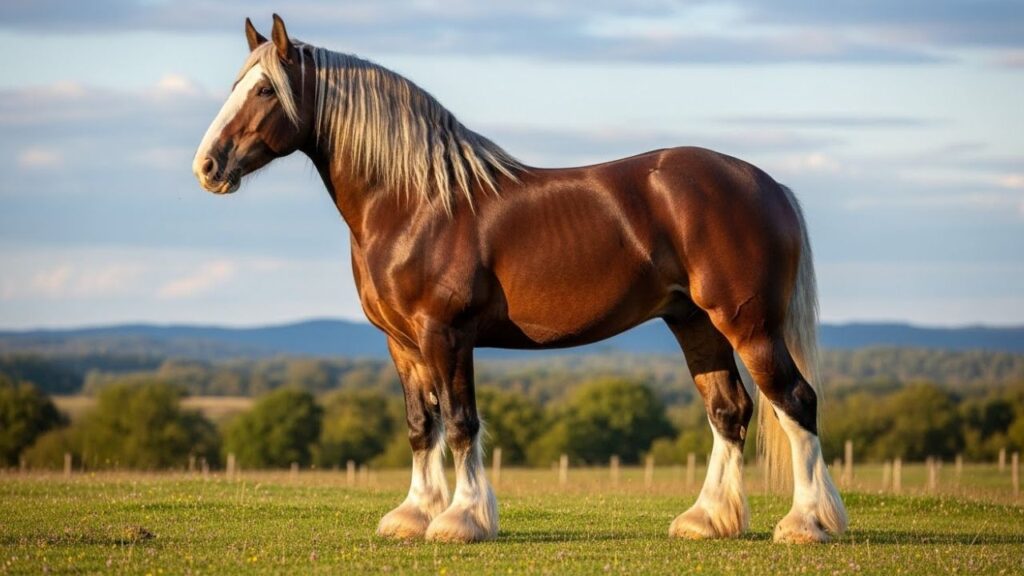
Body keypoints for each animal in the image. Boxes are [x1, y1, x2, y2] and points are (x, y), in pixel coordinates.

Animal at [193, 14, 848, 544]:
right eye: (235, 86)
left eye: (263, 89)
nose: (207, 166)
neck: (416, 202)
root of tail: (768, 186)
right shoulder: (402, 344)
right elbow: (420, 425)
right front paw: (412, 516)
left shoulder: (446, 335)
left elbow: (461, 423)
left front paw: (461, 520)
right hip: (695, 323)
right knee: (729, 411)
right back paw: (707, 520)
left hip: (747, 323)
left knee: (795, 401)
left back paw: (806, 523)